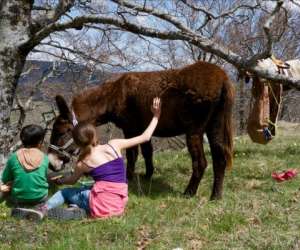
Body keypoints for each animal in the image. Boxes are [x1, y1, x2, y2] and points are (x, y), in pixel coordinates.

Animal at [48, 61, 234, 199]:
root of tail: (223, 78)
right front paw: (148, 175)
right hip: (215, 126)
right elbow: (147, 152)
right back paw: (216, 196)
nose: (51, 163)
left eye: (61, 132)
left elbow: (132, 154)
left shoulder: (130, 128)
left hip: (194, 129)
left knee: (201, 162)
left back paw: (189, 193)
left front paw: (128, 178)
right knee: (220, 159)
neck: (112, 96)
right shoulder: (143, 128)